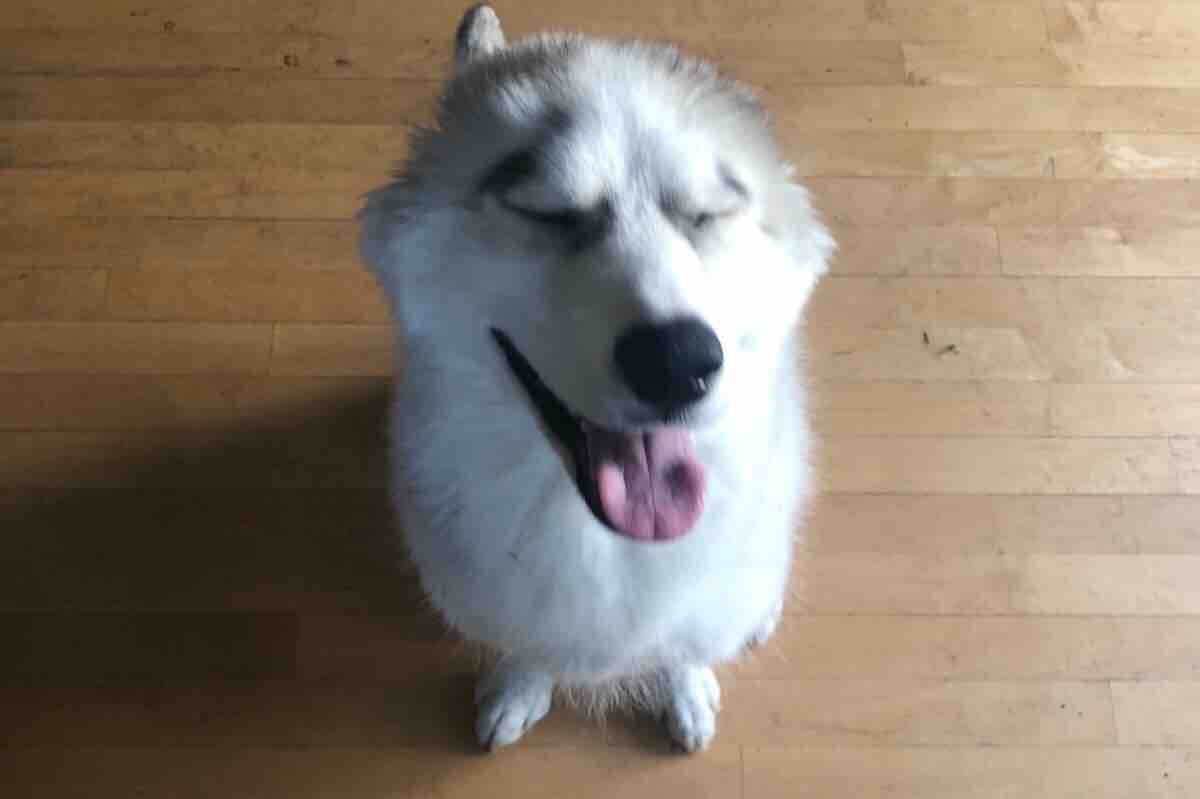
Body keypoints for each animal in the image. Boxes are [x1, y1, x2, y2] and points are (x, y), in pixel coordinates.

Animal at [359, 4, 832, 752]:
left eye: (706, 215)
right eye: (548, 211)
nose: (677, 361)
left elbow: (682, 646)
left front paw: (685, 689)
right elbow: (529, 642)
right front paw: (521, 685)